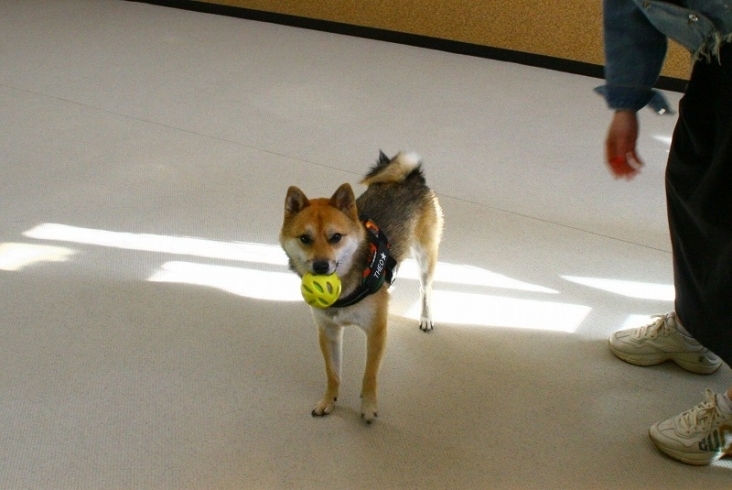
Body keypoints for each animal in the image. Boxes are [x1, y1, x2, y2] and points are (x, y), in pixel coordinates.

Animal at [278, 151, 440, 424]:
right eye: (305, 239)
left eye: (336, 237)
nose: (321, 266)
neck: (345, 288)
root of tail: (411, 178)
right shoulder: (328, 332)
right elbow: (333, 373)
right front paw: (328, 401)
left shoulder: (376, 331)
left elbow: (369, 375)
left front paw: (368, 407)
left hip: (425, 255)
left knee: (425, 289)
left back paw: (426, 317)